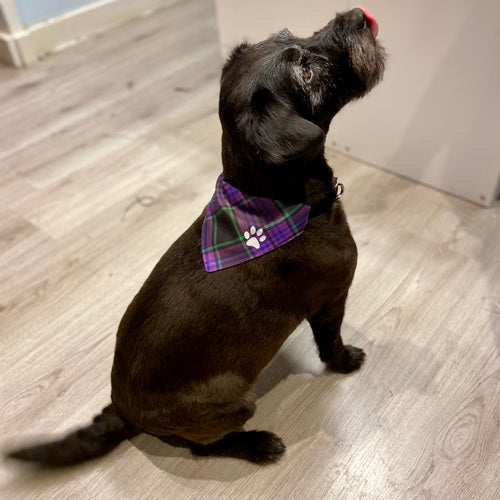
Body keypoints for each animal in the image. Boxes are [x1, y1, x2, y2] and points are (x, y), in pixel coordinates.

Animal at [7, 5, 384, 466]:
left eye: (289, 33)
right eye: (307, 73)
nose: (357, 15)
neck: (279, 200)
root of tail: (122, 410)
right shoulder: (331, 299)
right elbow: (330, 343)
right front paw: (346, 361)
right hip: (234, 400)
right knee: (204, 448)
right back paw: (258, 444)